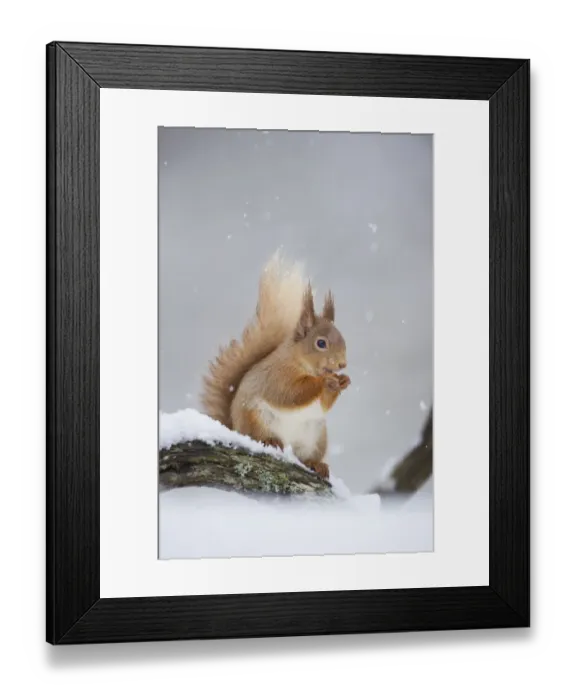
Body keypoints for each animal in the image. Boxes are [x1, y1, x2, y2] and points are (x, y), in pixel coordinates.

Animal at [200, 250, 350, 480]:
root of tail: (235, 428)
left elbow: (323, 404)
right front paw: (324, 381)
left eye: (343, 339)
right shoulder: (276, 375)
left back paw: (317, 464)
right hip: (256, 419)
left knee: (306, 456)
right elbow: (290, 394)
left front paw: (343, 382)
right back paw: (270, 441)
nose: (342, 364)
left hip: (316, 437)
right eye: (321, 343)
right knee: (259, 435)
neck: (301, 363)